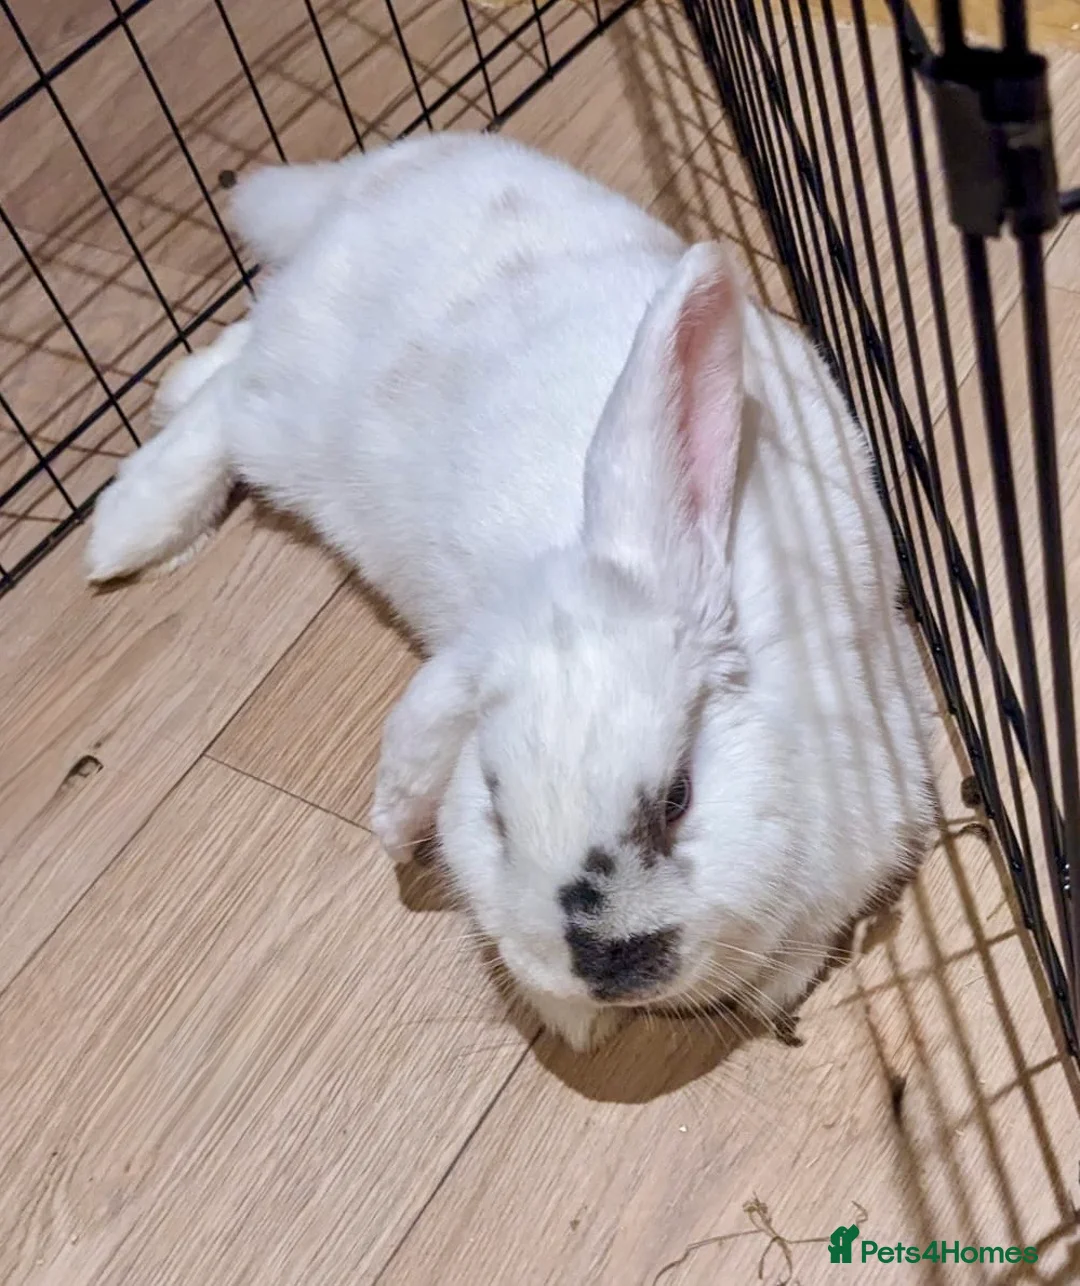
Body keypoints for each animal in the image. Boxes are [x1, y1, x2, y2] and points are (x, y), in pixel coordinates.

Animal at [86, 132, 937, 1054]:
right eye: (495, 810)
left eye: (679, 797)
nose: (606, 968)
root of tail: (385, 170)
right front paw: (569, 1015)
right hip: (296, 411)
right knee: (227, 402)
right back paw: (129, 525)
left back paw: (163, 407)